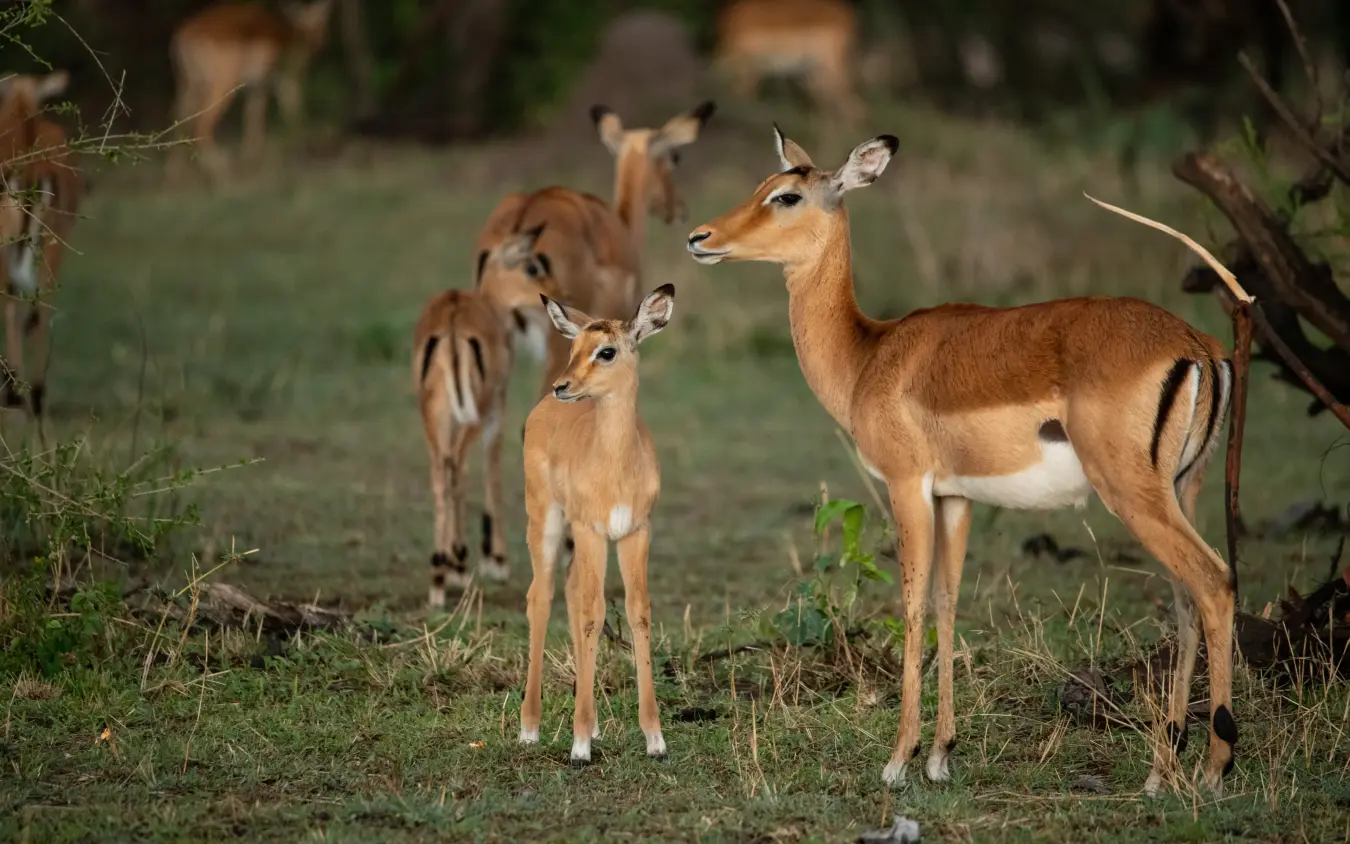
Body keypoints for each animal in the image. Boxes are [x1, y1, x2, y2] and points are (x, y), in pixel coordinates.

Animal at [167, 0, 333, 182]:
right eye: (310, 21)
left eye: (321, 21)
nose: (318, 41)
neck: (293, 36)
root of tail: (184, 35)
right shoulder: (284, 81)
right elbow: (291, 112)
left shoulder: (256, 87)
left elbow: (253, 119)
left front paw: (251, 160)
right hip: (221, 85)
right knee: (201, 125)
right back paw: (221, 170)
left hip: (187, 85)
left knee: (180, 122)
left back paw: (175, 176)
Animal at [413, 225, 567, 606]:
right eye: (532, 266)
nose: (559, 295)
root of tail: (452, 320)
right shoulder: (496, 409)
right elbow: (491, 463)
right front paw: (494, 562)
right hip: (473, 412)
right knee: (456, 464)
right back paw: (448, 569)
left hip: (434, 415)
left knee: (442, 471)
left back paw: (438, 575)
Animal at [519, 283, 675, 764]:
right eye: (574, 348)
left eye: (607, 350)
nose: (563, 386)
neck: (617, 465)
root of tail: (541, 410)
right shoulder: (591, 530)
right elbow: (592, 613)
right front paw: (579, 746)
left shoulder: (635, 532)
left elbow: (638, 613)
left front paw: (655, 739)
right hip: (546, 521)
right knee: (541, 596)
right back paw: (529, 727)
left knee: (570, 591)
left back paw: (594, 724)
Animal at [685, 126, 1244, 794]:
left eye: (786, 196)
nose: (700, 238)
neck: (868, 354)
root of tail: (1198, 346)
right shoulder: (955, 496)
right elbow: (948, 603)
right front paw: (940, 755)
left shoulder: (907, 486)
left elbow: (911, 604)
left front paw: (898, 761)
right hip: (1182, 488)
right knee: (1187, 598)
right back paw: (1162, 772)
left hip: (1133, 494)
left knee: (1214, 580)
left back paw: (1213, 770)